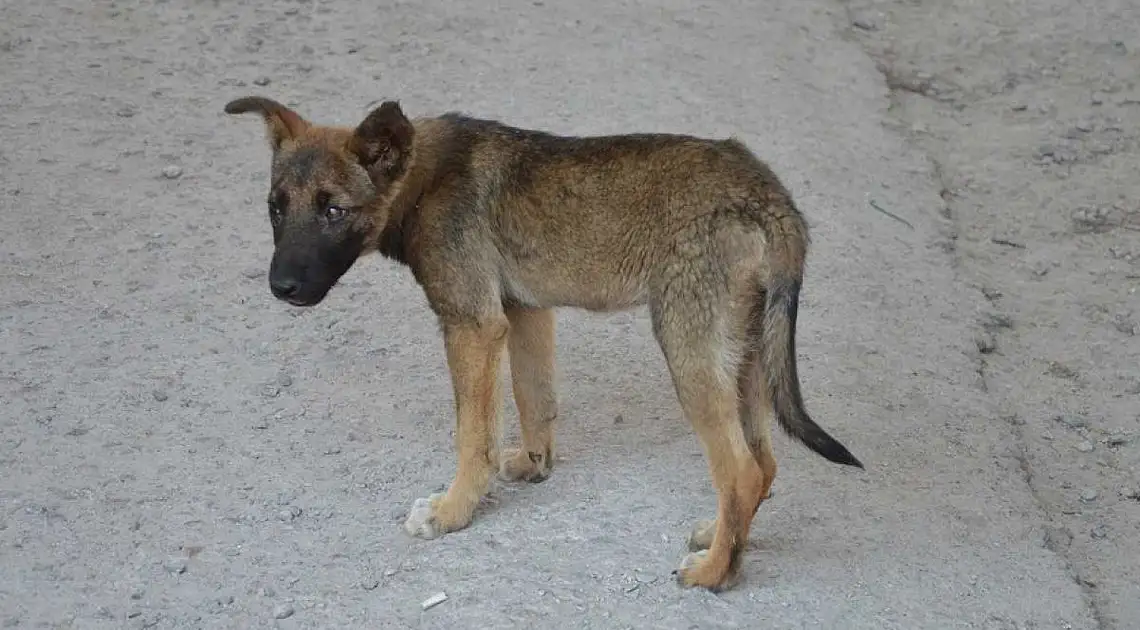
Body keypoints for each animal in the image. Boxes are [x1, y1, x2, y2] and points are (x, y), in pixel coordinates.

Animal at [222, 94, 861, 587]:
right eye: (275, 209)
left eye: (333, 210)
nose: (280, 287)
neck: (423, 178)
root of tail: (772, 198)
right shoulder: (524, 312)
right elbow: (535, 401)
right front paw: (534, 467)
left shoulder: (472, 325)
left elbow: (472, 435)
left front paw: (454, 511)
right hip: (742, 357)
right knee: (764, 464)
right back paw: (723, 539)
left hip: (689, 351)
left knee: (742, 471)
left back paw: (715, 575)